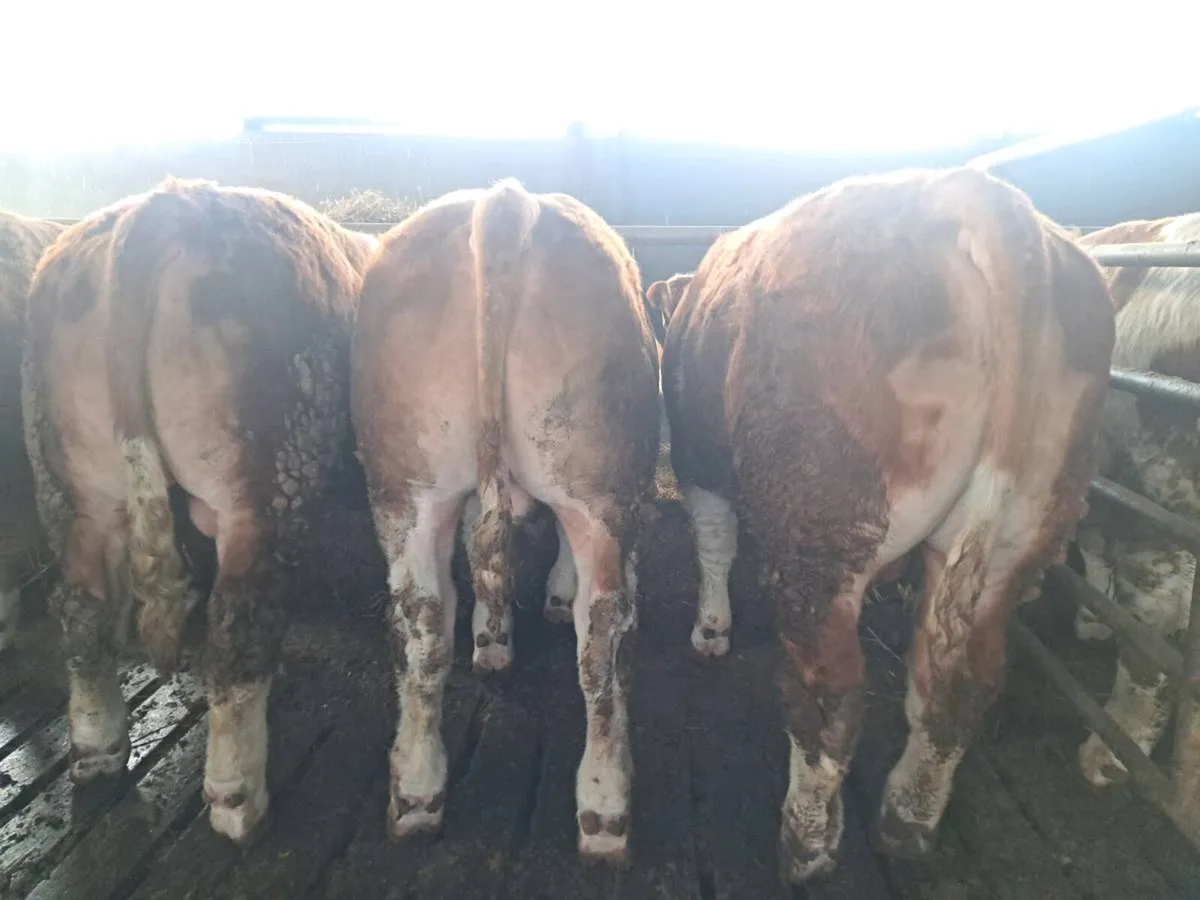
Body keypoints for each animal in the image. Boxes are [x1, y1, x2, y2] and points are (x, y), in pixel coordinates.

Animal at [22, 178, 377, 843]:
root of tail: (162, 205)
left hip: (75, 490)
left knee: (82, 609)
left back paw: (97, 748)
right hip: (263, 482)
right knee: (238, 623)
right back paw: (237, 797)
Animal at [352, 179, 660, 865]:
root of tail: (504, 202)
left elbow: (480, 554)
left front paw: (493, 638)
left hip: (407, 488)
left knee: (423, 627)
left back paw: (417, 790)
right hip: (599, 488)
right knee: (603, 636)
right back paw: (606, 806)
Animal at [660, 167, 1115, 882]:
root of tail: (979, 193)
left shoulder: (696, 451)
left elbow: (713, 543)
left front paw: (711, 630)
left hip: (822, 529)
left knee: (830, 698)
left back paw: (806, 841)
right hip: (1020, 533)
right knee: (960, 685)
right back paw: (907, 820)